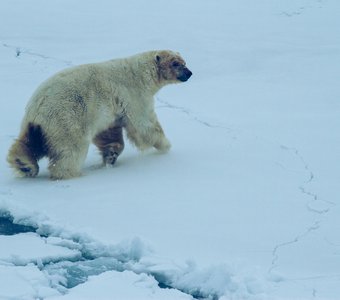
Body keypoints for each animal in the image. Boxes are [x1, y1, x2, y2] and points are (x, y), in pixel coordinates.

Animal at [7, 50, 191, 179]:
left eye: (184, 61)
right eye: (176, 63)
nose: (189, 73)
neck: (141, 72)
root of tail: (38, 107)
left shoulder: (110, 110)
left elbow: (109, 131)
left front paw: (111, 156)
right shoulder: (134, 94)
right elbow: (144, 125)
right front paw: (165, 145)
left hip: (35, 125)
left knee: (28, 142)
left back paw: (24, 165)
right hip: (67, 119)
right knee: (72, 149)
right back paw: (72, 173)